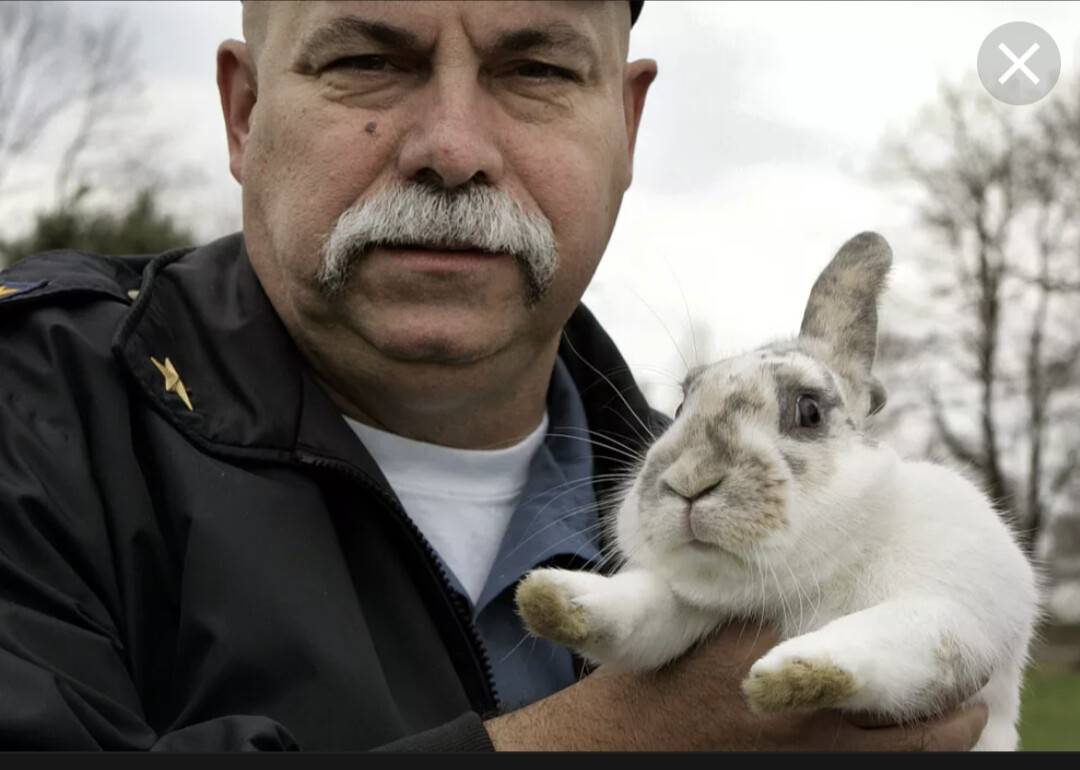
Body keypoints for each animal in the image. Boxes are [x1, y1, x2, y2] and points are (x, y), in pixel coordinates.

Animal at [518, 231, 1041, 747]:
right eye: (683, 405)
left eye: (808, 411)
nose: (689, 482)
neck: (817, 577)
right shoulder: (686, 607)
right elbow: (641, 612)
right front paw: (550, 599)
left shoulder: (956, 617)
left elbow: (895, 636)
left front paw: (789, 674)